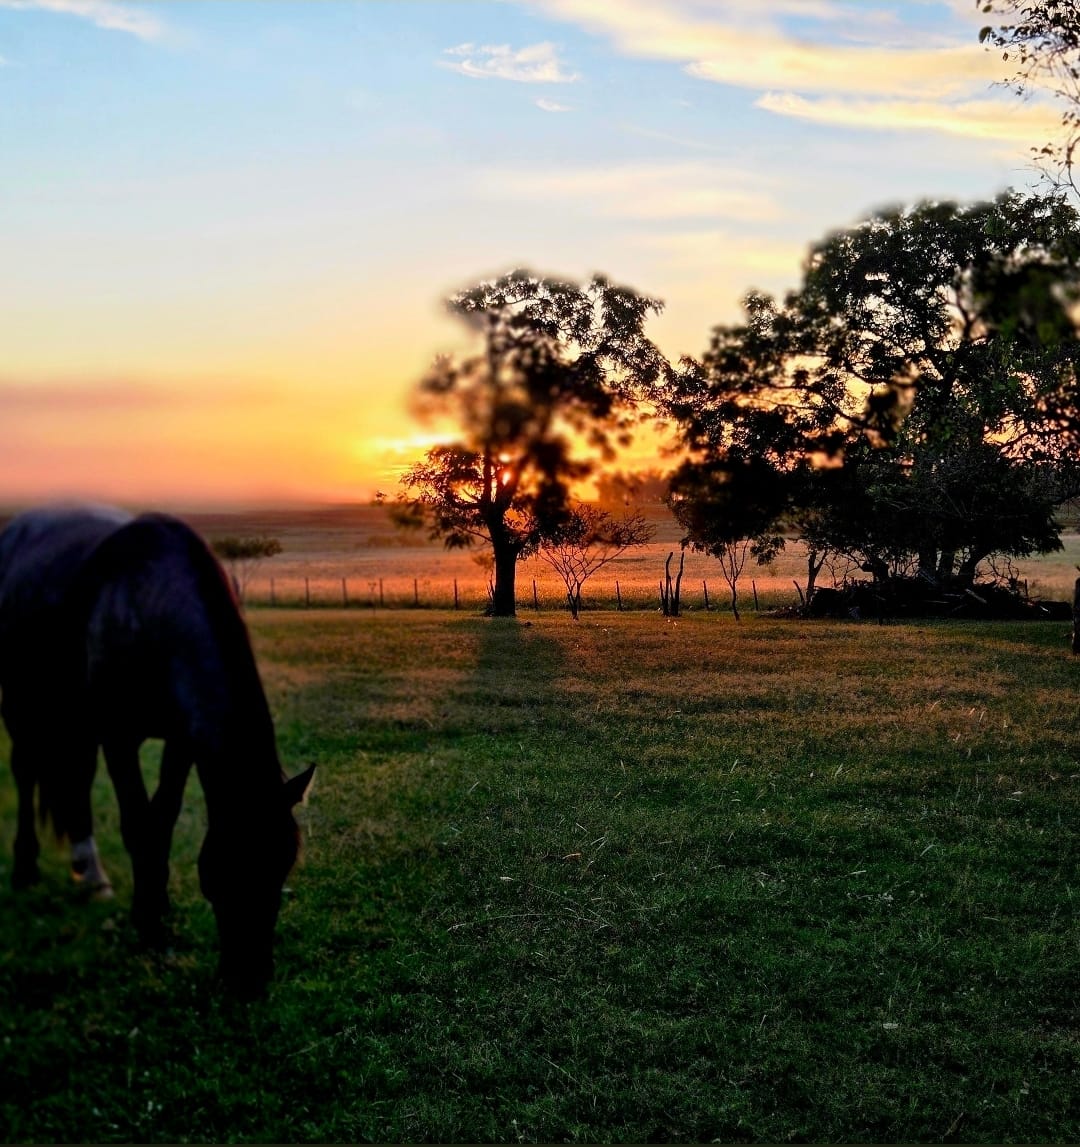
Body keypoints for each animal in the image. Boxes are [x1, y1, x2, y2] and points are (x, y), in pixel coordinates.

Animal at [0, 506, 314, 997]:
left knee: (76, 779)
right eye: (225, 868)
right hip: (19, 698)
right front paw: (147, 924)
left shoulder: (180, 740)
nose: (248, 981)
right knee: (26, 770)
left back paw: (90, 875)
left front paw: (158, 905)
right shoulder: (118, 736)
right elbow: (136, 822)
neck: (148, 603)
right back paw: (25, 867)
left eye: (281, 866)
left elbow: (162, 818)